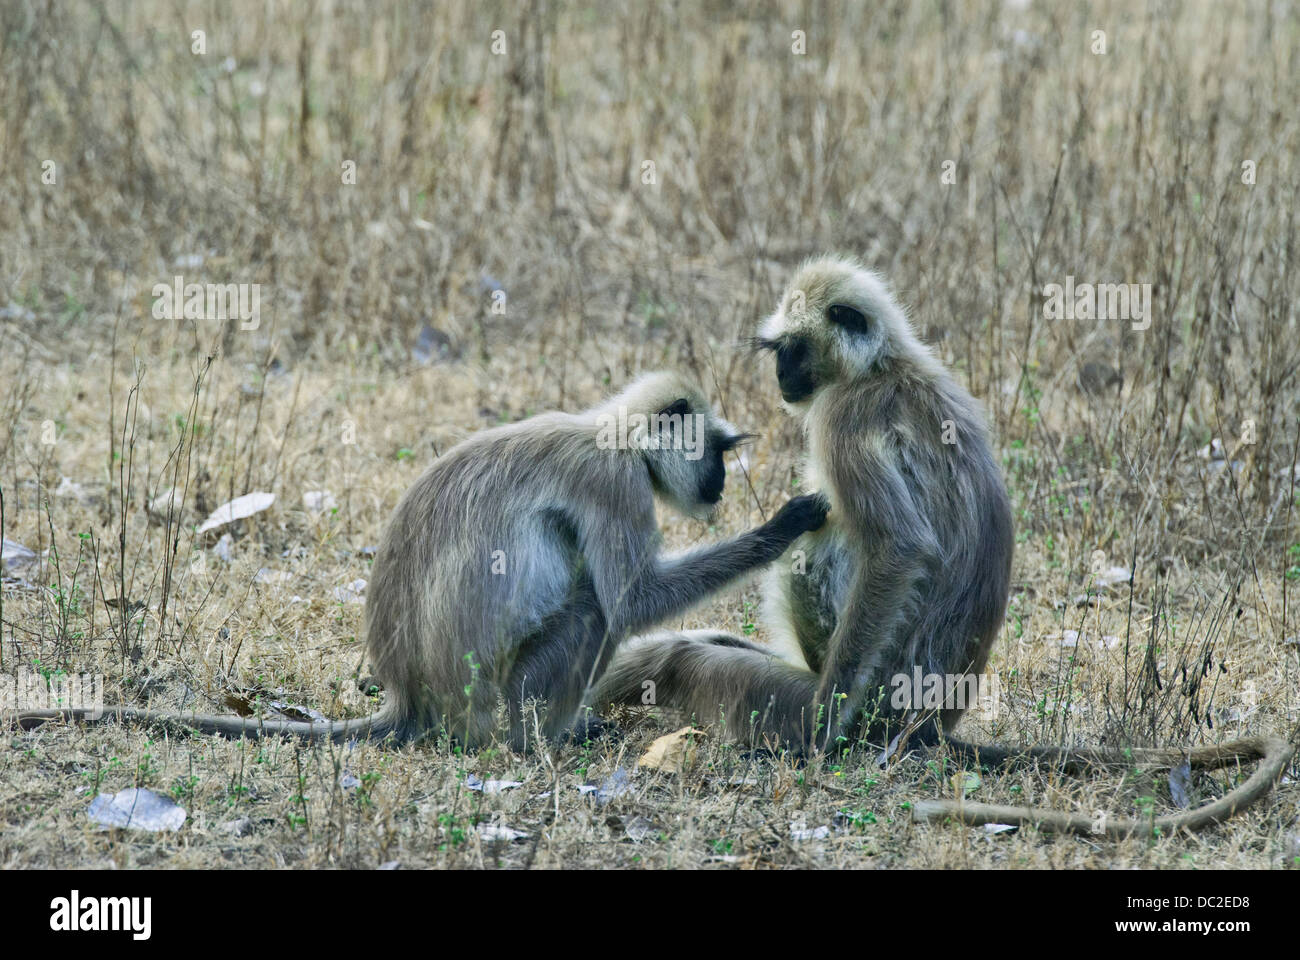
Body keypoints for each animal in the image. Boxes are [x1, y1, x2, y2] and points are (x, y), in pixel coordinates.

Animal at [10, 369, 826, 749]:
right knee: (596, 608)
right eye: (716, 452)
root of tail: (410, 693)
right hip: (497, 699)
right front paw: (782, 527)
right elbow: (632, 601)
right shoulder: (612, 481)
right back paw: (546, 741)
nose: (719, 484)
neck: (611, 433)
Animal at [595, 260, 1289, 832]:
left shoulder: (844, 415)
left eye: (791, 348)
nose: (780, 374)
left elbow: (900, 549)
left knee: (690, 656)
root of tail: (935, 724)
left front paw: (821, 729)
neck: (884, 366)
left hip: (873, 711)